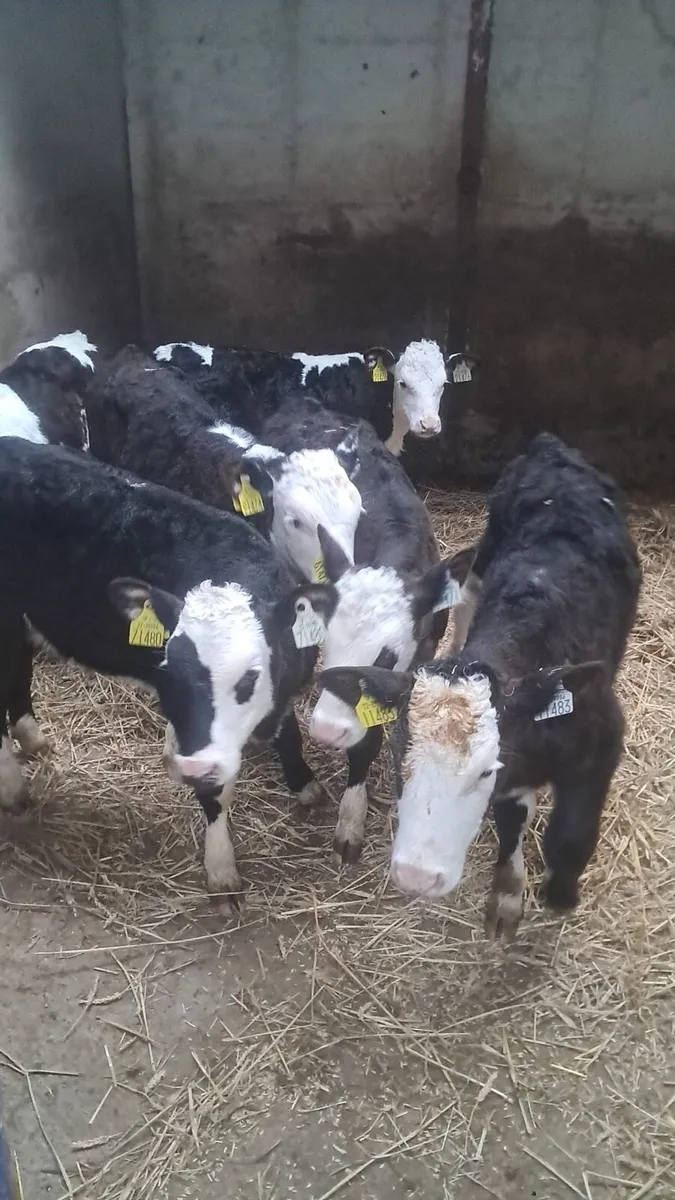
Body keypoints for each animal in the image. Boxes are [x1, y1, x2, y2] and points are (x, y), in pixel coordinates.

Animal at [0, 437, 332, 900]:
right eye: (168, 677)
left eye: (250, 676)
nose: (191, 766)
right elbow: (215, 797)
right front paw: (221, 870)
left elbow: (291, 733)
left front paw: (304, 784)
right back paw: (12, 788)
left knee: (17, 668)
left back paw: (32, 739)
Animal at [319, 434, 641, 936]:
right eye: (398, 761)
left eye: (486, 771)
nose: (417, 875)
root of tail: (553, 448)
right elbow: (512, 823)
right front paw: (508, 896)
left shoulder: (602, 738)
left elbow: (571, 834)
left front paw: (560, 894)